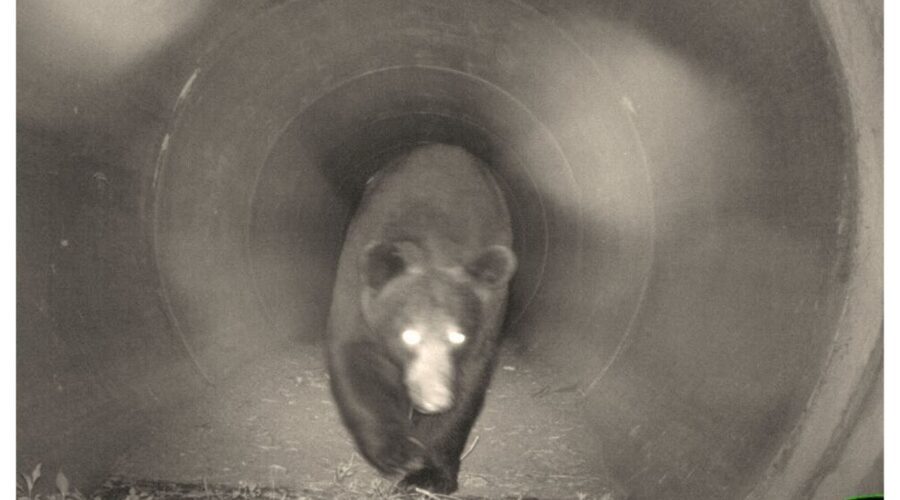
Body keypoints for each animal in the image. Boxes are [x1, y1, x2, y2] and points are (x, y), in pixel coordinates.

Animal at [326, 144, 516, 492]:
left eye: (458, 336)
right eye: (408, 334)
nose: (435, 398)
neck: (433, 244)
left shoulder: (488, 318)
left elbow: (469, 384)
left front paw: (428, 474)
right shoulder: (356, 290)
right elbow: (355, 359)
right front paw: (397, 452)